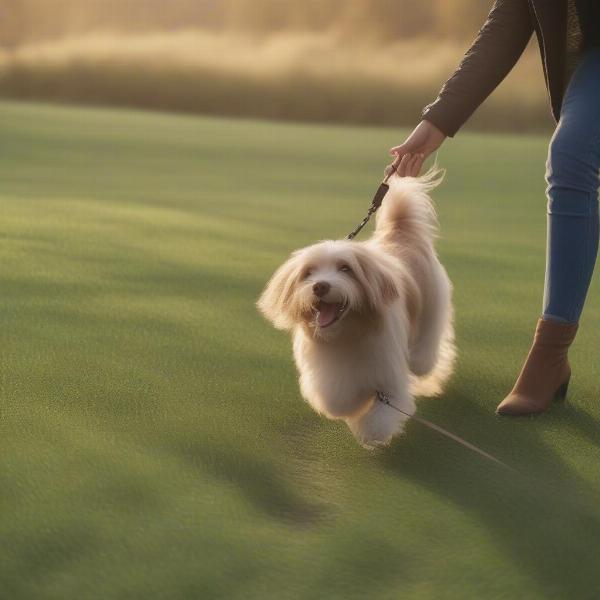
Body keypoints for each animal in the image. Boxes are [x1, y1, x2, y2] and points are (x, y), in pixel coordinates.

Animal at [256, 171, 454, 448]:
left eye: (345, 268)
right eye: (308, 273)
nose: (320, 286)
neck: (349, 333)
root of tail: (399, 230)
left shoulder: (388, 379)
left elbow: (380, 416)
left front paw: (370, 433)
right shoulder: (332, 373)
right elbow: (338, 401)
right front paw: (352, 408)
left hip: (432, 308)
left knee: (427, 350)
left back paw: (422, 363)